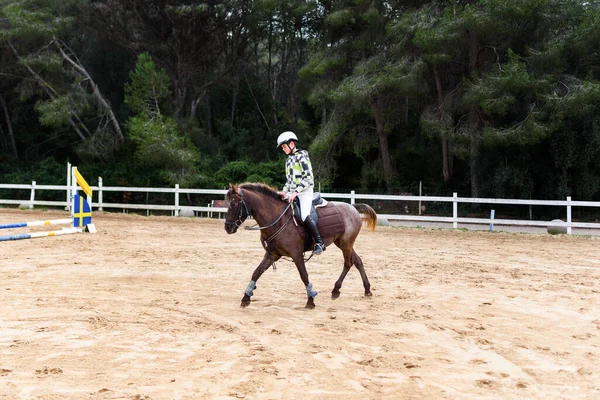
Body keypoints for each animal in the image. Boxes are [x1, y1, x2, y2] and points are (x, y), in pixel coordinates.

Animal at [223, 183, 378, 308]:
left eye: (233, 204)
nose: (227, 227)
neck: (277, 219)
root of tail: (352, 207)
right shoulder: (272, 254)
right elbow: (256, 272)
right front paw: (246, 297)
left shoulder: (296, 254)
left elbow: (304, 275)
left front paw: (310, 300)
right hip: (342, 242)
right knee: (357, 261)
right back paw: (366, 290)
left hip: (346, 243)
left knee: (348, 263)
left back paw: (336, 290)